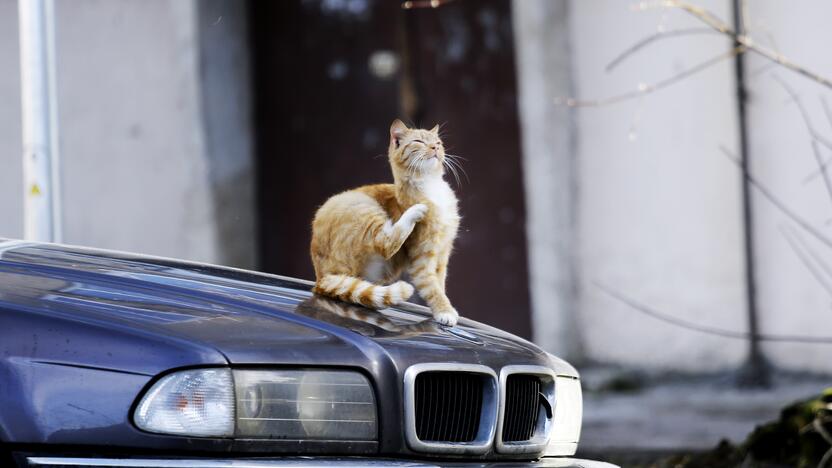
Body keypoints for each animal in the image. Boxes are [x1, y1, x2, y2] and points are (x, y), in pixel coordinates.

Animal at [310, 119, 462, 328]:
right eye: (419, 141)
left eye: (438, 142)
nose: (435, 148)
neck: (430, 187)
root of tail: (320, 278)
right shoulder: (422, 260)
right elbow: (432, 288)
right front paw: (445, 311)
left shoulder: (442, 255)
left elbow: (440, 283)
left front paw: (445, 307)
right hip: (365, 209)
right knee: (386, 243)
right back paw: (415, 212)